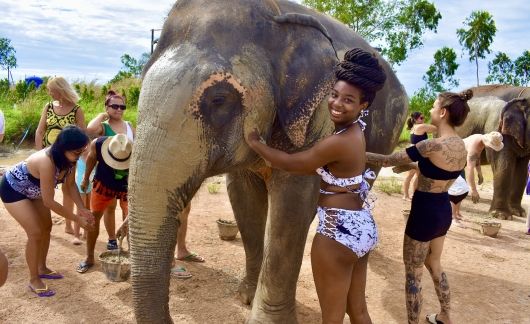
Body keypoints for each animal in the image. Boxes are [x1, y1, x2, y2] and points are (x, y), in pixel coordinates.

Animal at [127, 1, 404, 322]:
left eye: (219, 100)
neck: (275, 15)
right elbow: (244, 200)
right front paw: (245, 297)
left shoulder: (317, 120)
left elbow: (292, 207)